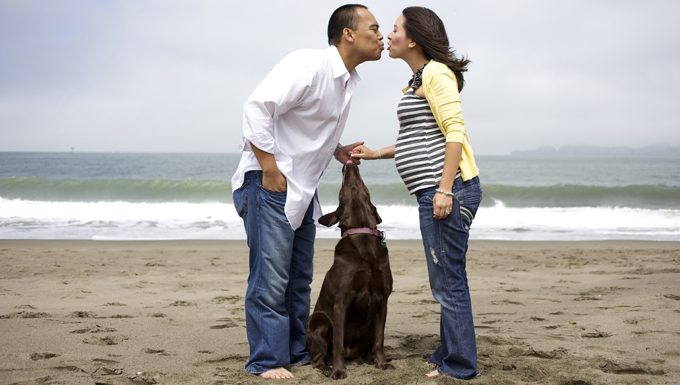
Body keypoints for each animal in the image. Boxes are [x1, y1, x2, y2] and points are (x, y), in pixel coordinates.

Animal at [308, 160, 394, 378]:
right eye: (342, 190)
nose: (348, 164)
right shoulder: (341, 302)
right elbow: (338, 341)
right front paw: (339, 371)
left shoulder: (383, 299)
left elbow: (380, 339)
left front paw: (381, 363)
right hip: (319, 321)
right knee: (318, 357)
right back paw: (326, 367)